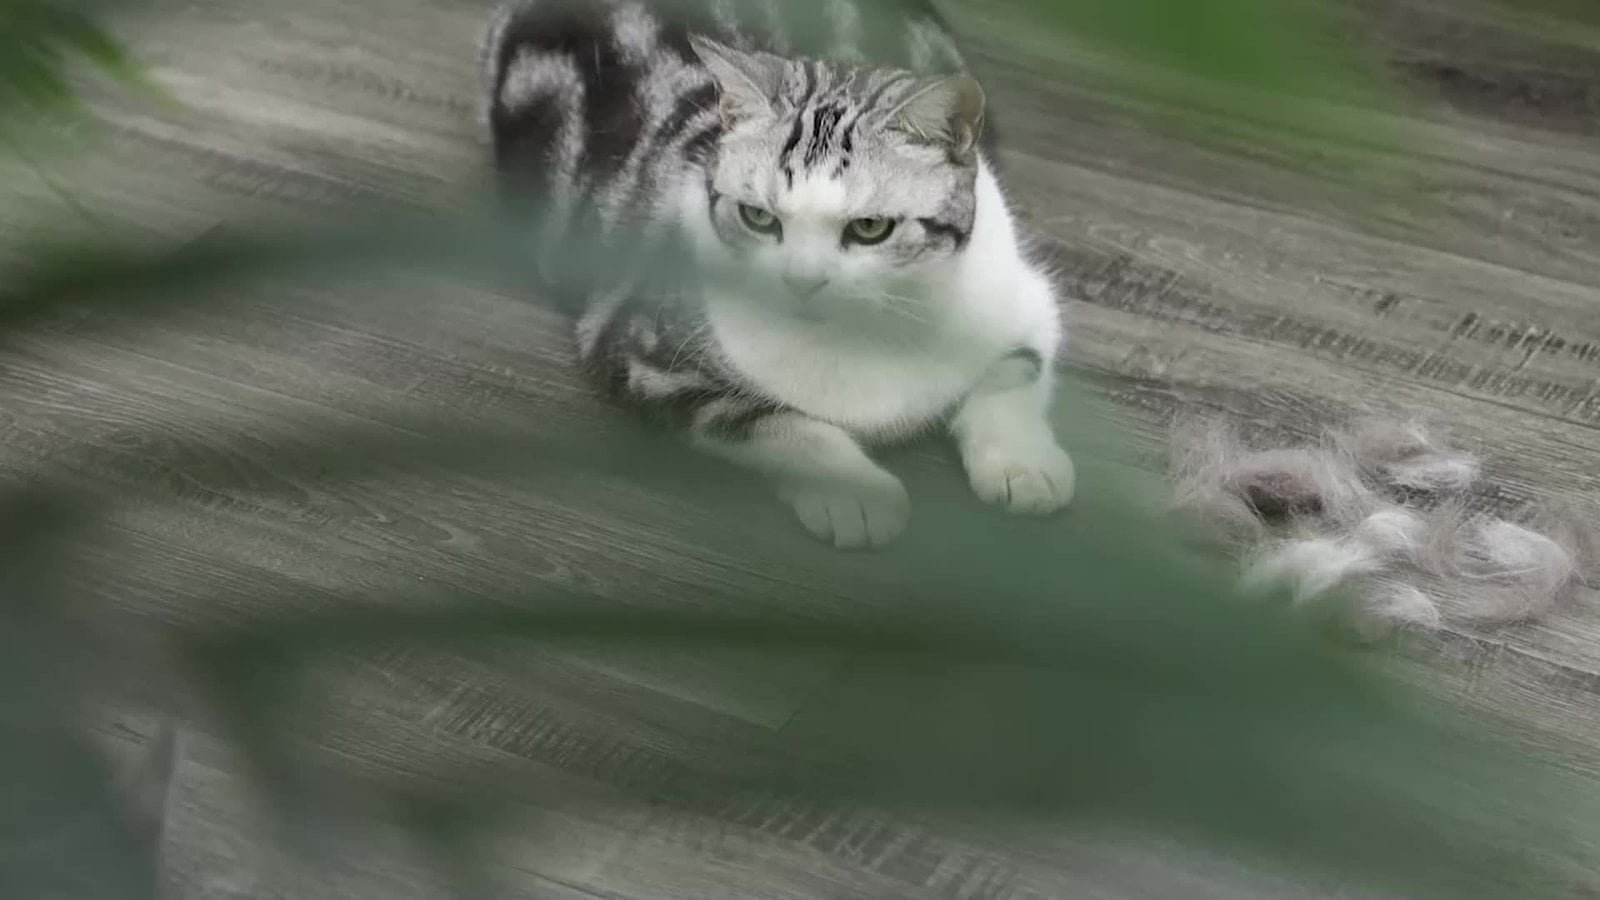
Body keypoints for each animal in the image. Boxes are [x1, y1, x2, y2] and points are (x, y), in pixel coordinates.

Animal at [481, 0, 1074, 547]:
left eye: (871, 227)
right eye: (759, 218)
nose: (803, 282)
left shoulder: (1023, 291)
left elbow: (1015, 372)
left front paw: (1024, 463)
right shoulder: (638, 346)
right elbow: (765, 419)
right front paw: (853, 490)